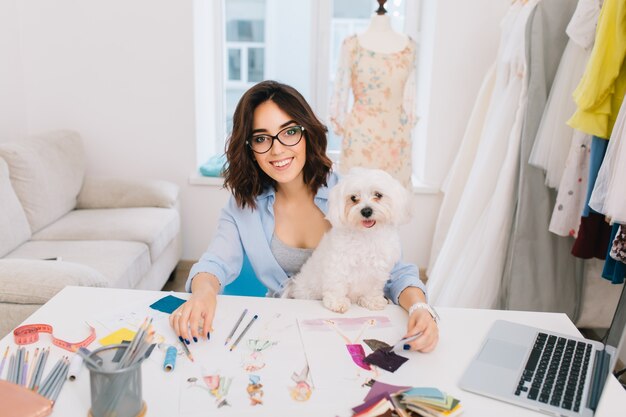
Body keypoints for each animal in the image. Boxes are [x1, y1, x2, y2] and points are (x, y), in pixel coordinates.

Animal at [282, 166, 410, 312]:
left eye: (378, 195)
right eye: (353, 198)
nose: (366, 211)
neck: (366, 236)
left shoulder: (377, 270)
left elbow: (373, 288)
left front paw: (372, 301)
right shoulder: (338, 265)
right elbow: (337, 284)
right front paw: (337, 302)